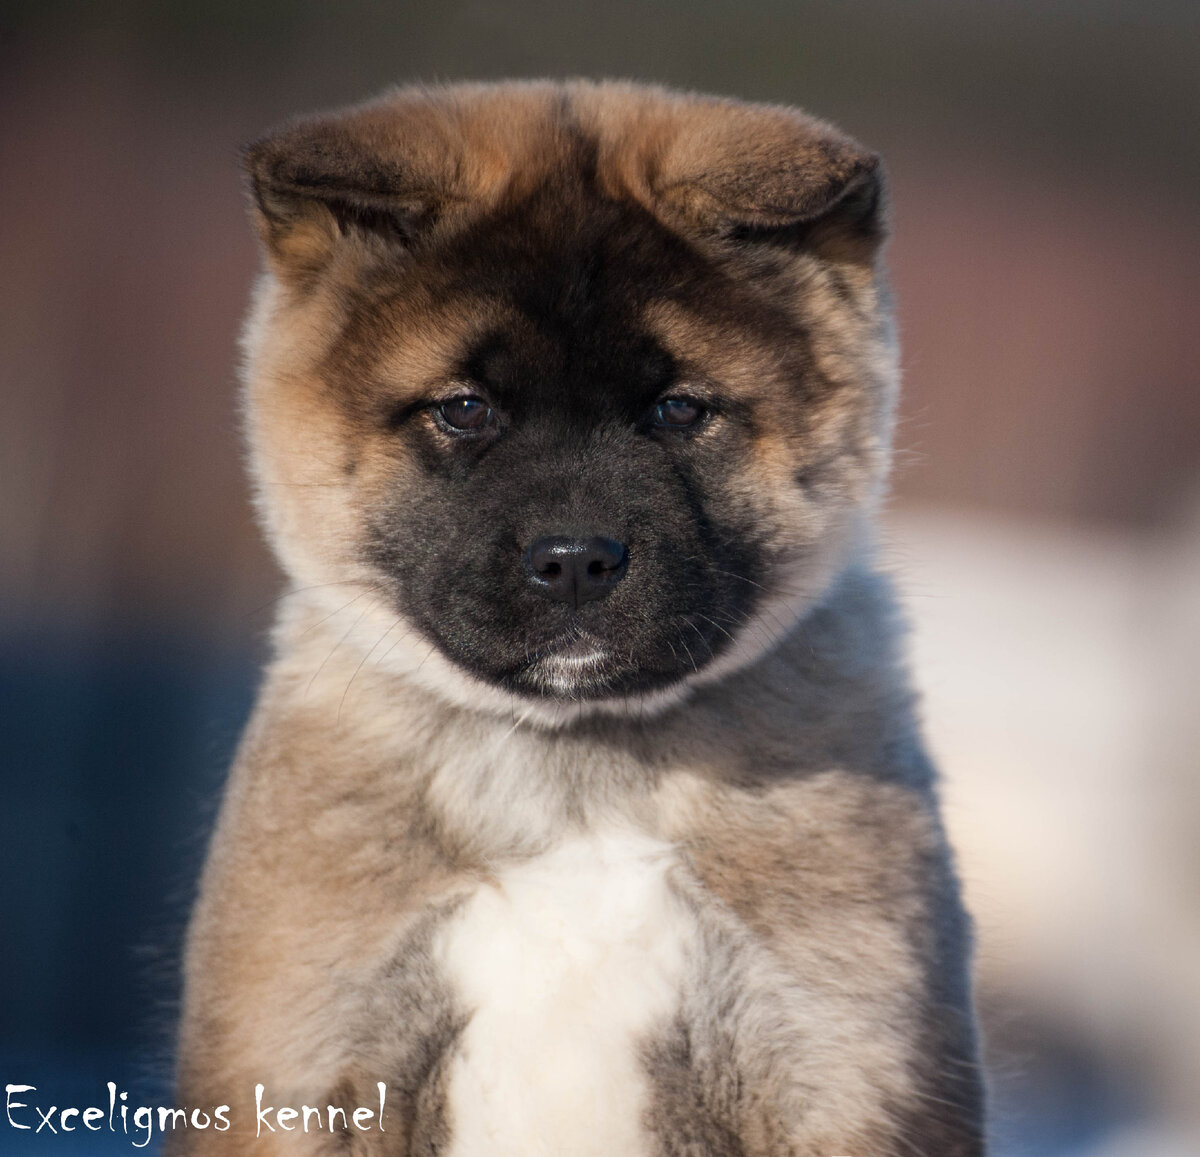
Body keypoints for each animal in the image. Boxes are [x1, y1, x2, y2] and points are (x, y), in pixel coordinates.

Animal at [174, 81, 988, 1157]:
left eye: (679, 409)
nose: (574, 563)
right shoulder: (301, 1052)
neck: (573, 783)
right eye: (464, 409)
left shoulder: (841, 1058)